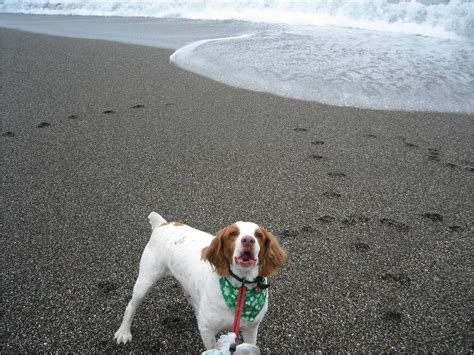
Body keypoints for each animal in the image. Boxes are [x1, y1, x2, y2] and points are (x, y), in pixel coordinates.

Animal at [115, 211, 286, 350]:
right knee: (130, 307)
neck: (240, 288)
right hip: (145, 281)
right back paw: (123, 332)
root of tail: (162, 224)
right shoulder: (208, 331)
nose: (248, 240)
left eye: (258, 235)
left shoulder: (251, 329)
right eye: (233, 233)